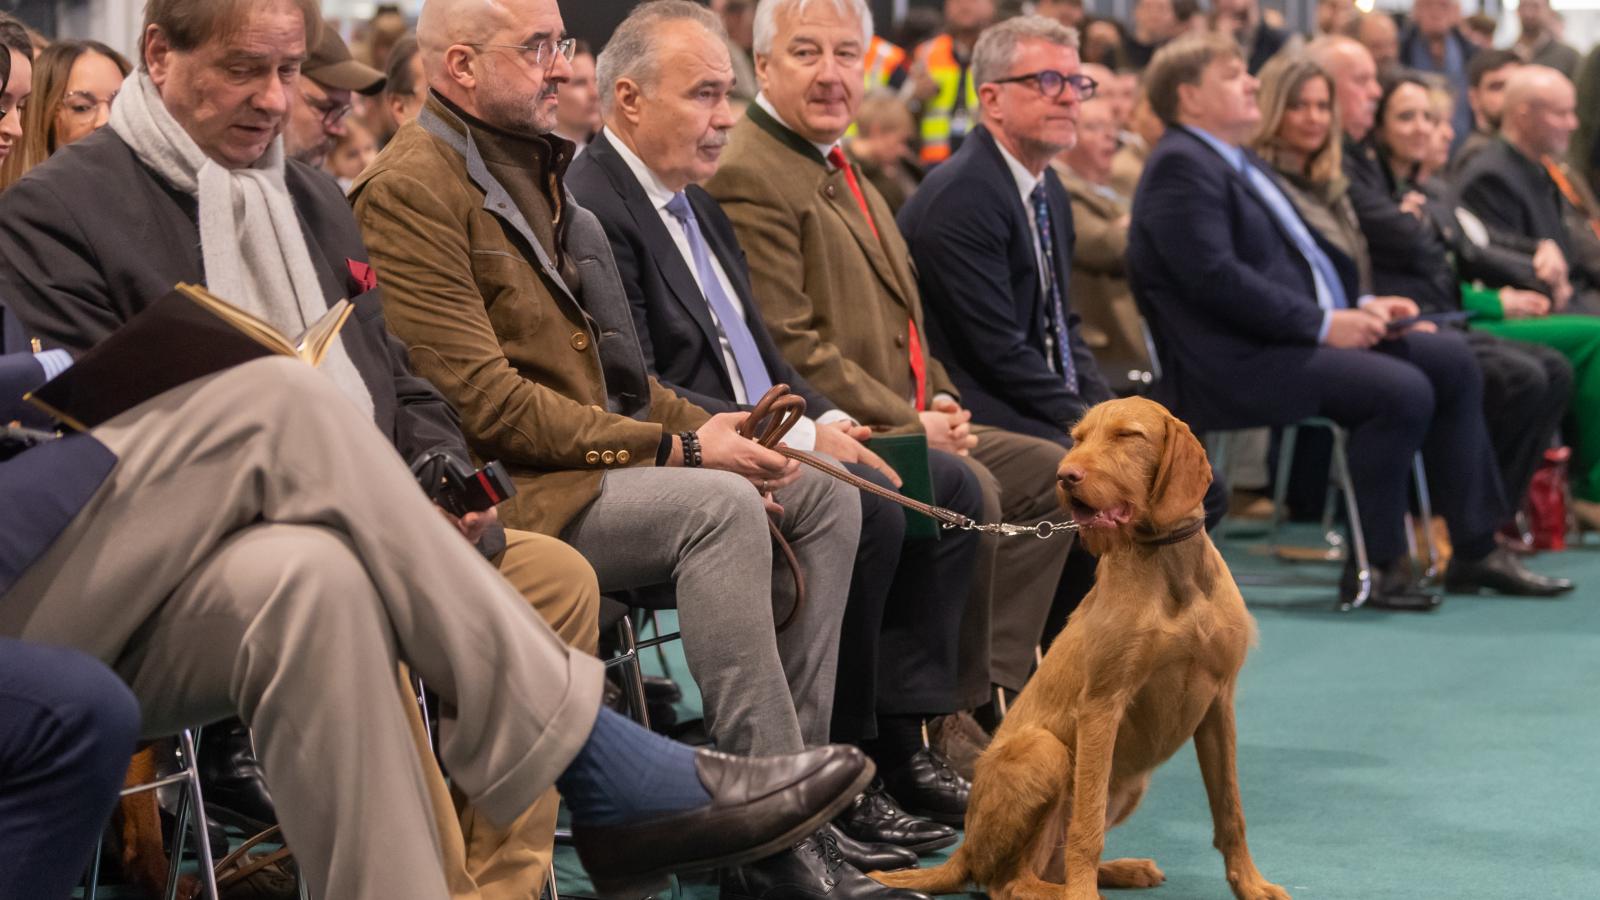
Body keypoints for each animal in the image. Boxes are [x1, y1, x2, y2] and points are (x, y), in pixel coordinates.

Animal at [876, 398, 1286, 896]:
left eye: (1128, 436)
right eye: (1077, 438)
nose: (1065, 475)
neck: (1171, 570)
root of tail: (964, 849)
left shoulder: (1219, 704)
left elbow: (1230, 810)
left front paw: (1250, 883)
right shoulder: (1102, 706)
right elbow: (1086, 829)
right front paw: (1084, 891)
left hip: (1131, 785)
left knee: (1043, 867)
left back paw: (1125, 869)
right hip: (1044, 752)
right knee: (1011, 882)